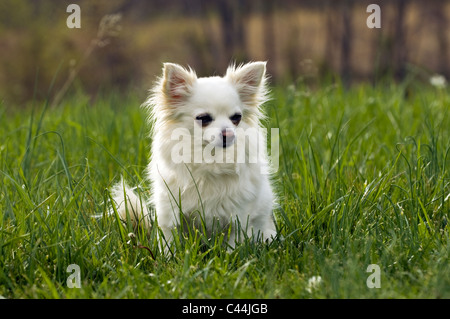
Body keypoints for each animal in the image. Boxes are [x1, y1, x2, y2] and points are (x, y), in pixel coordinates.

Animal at [110, 60, 276, 250]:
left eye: (236, 118)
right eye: (203, 118)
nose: (228, 134)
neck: (210, 159)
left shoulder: (238, 219)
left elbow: (232, 247)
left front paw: (230, 255)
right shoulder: (170, 214)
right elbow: (169, 243)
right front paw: (168, 257)